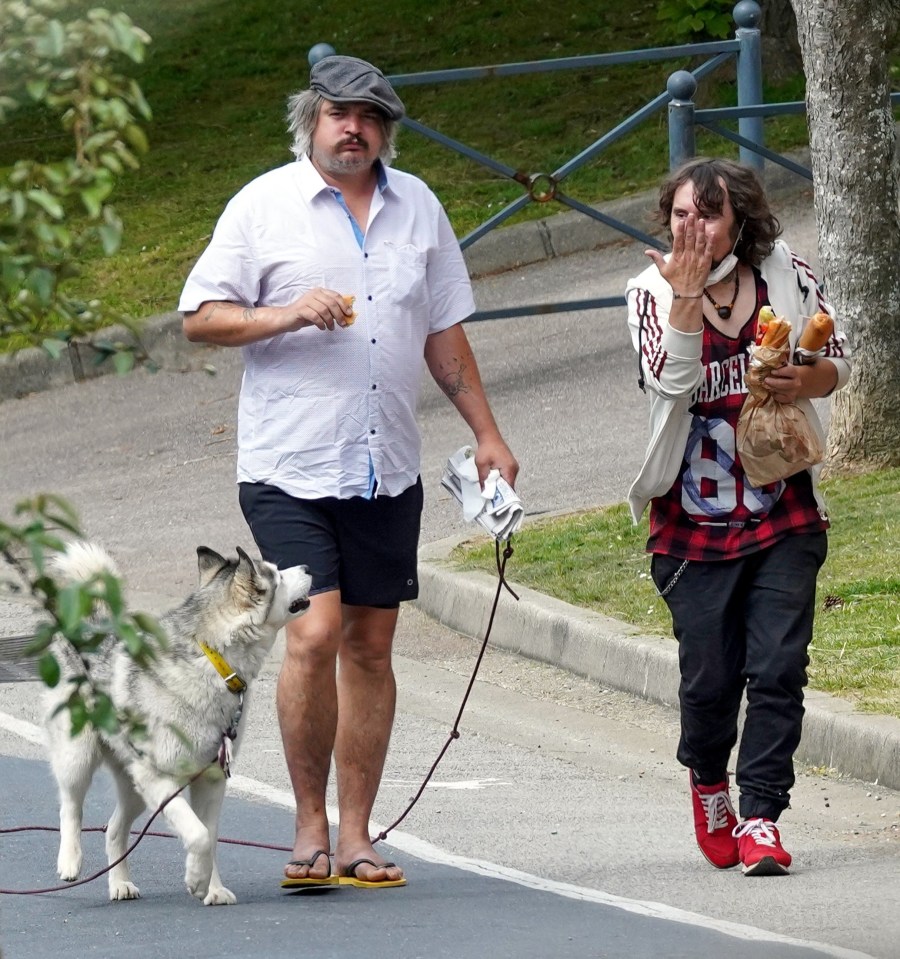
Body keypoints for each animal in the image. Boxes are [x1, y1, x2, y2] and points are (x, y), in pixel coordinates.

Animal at [44, 544, 312, 904]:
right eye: (277, 577)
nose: (308, 566)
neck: (213, 659)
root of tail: (92, 623)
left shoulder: (211, 780)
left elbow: (210, 838)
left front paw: (212, 889)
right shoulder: (158, 778)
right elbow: (198, 835)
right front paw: (197, 880)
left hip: (134, 786)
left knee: (114, 828)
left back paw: (119, 883)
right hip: (80, 757)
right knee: (70, 806)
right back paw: (70, 860)